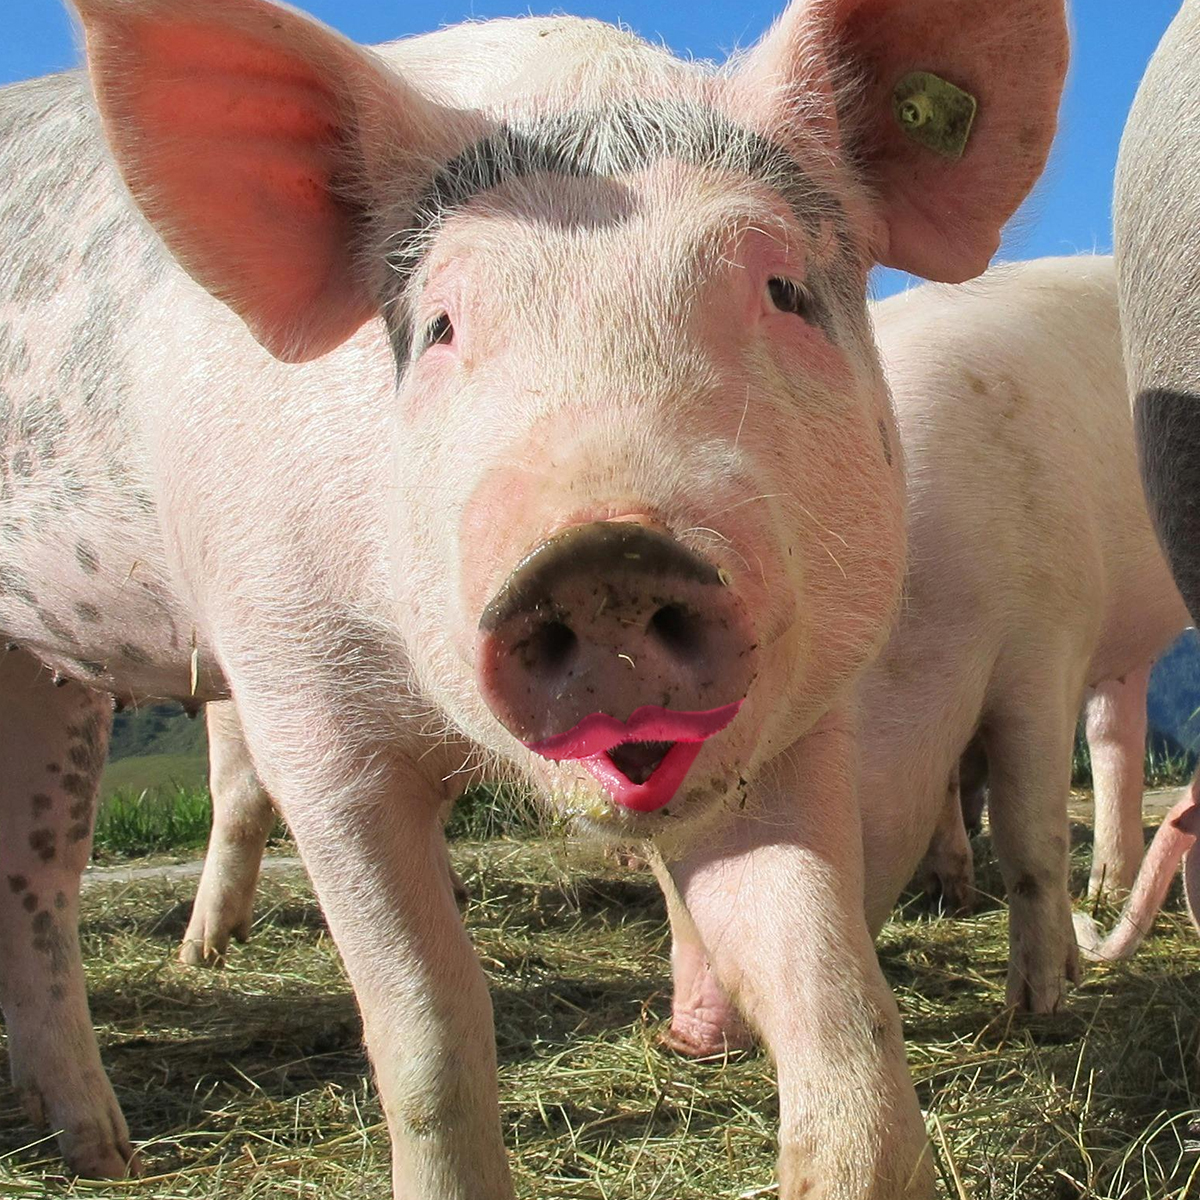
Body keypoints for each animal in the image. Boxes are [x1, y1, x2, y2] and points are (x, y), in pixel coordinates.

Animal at [0, 0, 1068, 1193]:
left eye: (785, 289)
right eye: (442, 325)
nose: (606, 556)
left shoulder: (798, 729)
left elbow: (838, 1007)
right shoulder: (299, 709)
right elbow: (427, 1034)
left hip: (43, 676)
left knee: (32, 880)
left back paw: (97, 1150)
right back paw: (113, 1140)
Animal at [660, 256, 1191, 1055]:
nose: (684, 1034)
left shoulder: (1046, 643)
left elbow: (1028, 831)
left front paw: (1036, 1006)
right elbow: (945, 793)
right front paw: (952, 893)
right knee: (1115, 733)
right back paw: (1104, 891)